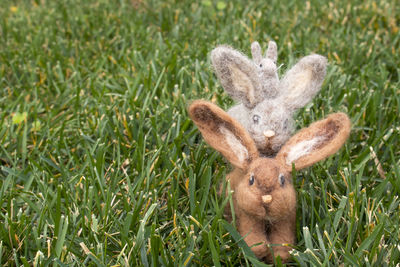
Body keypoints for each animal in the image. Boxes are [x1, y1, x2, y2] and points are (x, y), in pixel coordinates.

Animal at [188, 99, 350, 262]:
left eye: (282, 180)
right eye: (251, 179)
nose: (266, 199)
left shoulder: (284, 221)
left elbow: (282, 241)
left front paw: (279, 256)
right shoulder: (248, 218)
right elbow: (254, 239)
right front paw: (257, 252)